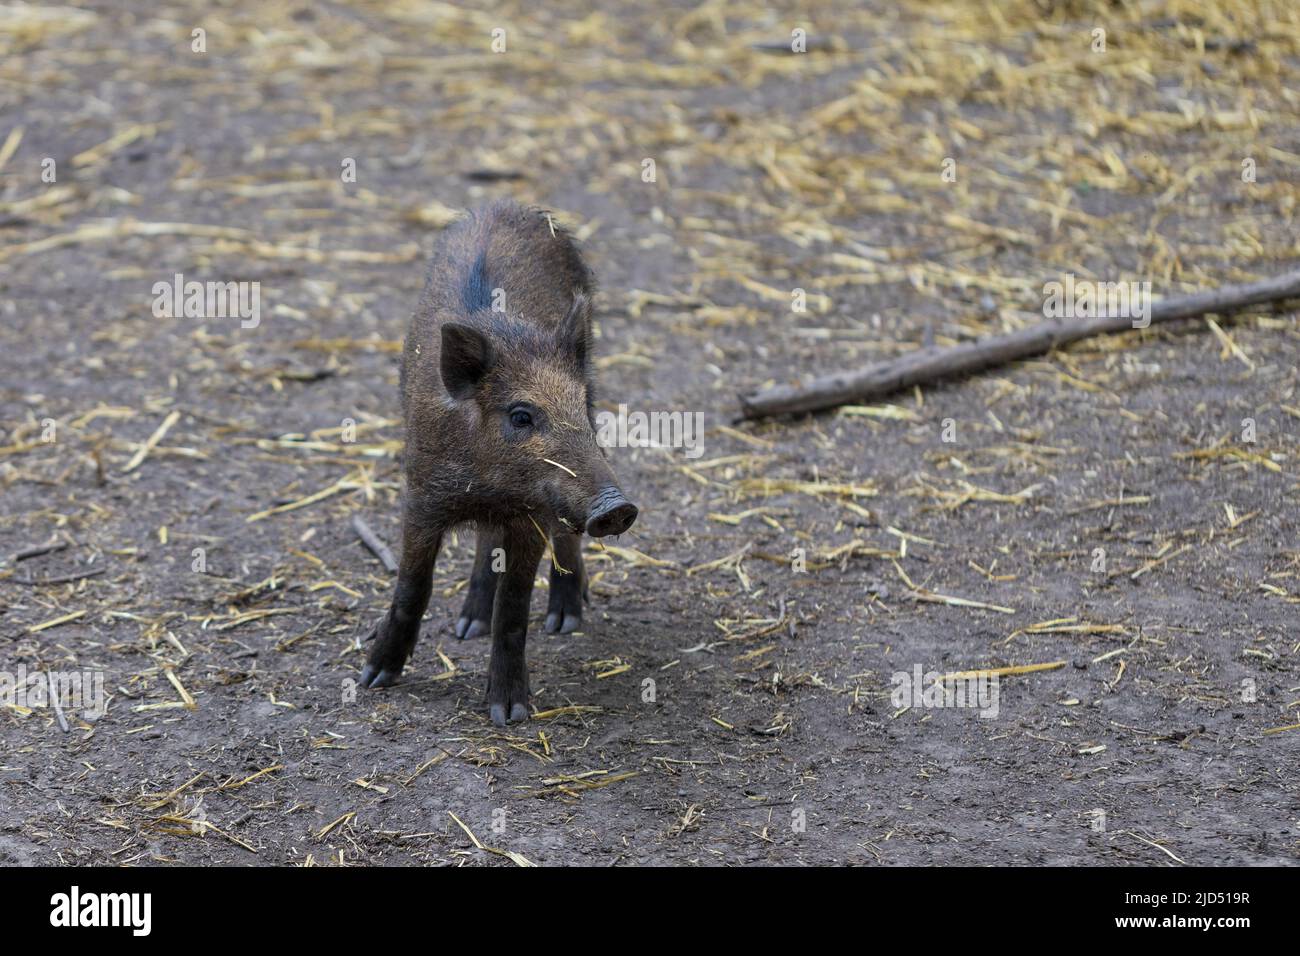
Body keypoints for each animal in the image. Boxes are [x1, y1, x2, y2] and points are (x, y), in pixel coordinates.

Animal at [359, 200, 638, 725]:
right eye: (521, 415)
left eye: (578, 408)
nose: (617, 507)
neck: (489, 485)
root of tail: (507, 206)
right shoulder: (421, 500)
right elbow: (412, 586)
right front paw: (373, 678)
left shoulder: (530, 517)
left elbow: (513, 610)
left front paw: (509, 714)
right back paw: (468, 626)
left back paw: (563, 621)